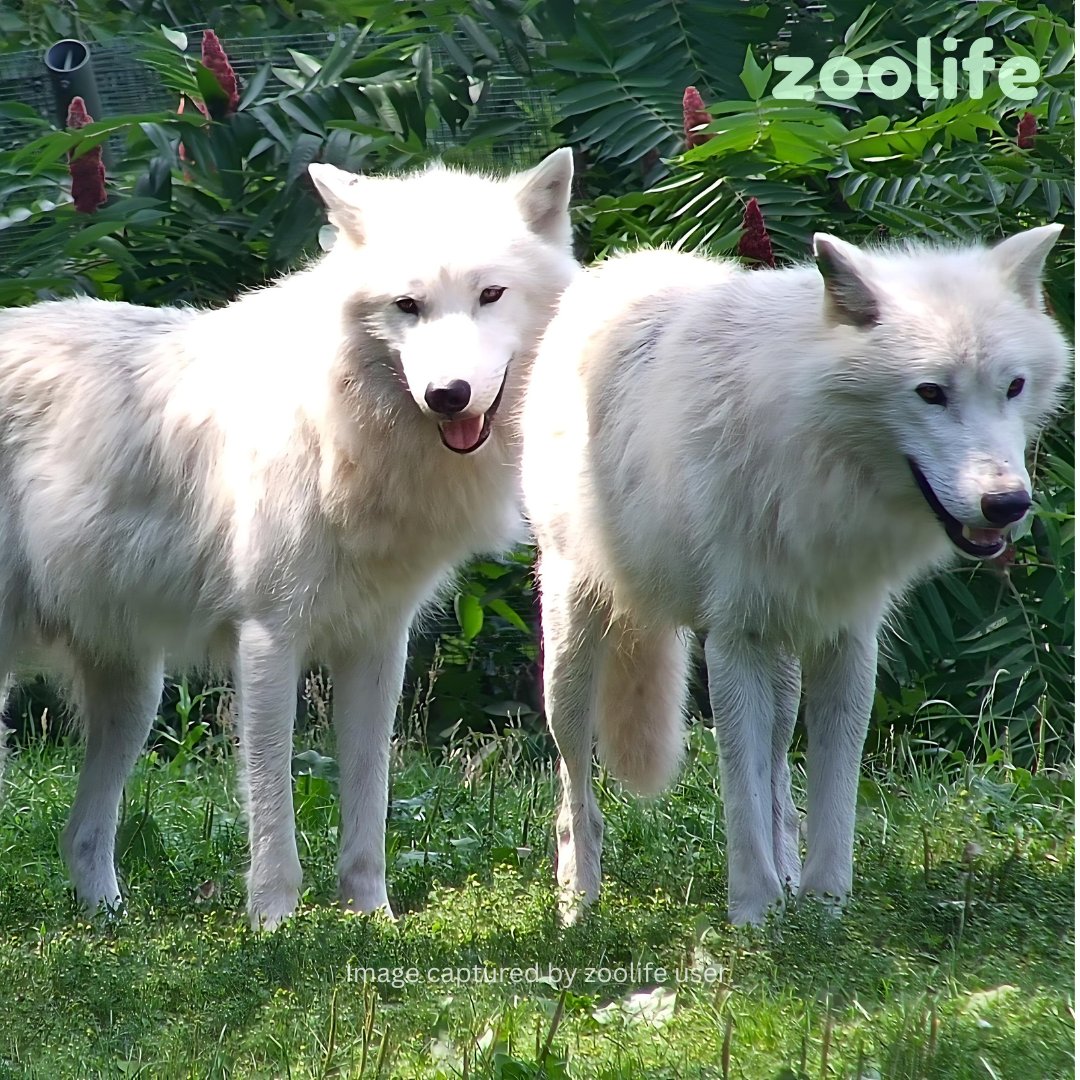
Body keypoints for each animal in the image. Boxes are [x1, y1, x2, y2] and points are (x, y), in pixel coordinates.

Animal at [0, 148, 576, 928]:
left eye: (491, 294)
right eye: (408, 306)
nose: (447, 395)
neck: (346, 434)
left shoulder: (377, 643)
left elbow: (368, 799)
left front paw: (372, 920)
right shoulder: (271, 639)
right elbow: (272, 810)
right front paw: (273, 925)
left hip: (134, 693)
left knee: (81, 837)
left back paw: (107, 923)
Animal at [521, 225, 1068, 926]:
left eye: (1013, 386)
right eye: (930, 392)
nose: (1008, 504)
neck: (818, 454)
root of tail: (623, 265)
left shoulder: (846, 638)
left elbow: (830, 794)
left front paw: (825, 908)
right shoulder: (734, 641)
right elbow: (739, 791)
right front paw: (754, 914)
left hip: (782, 656)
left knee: (780, 765)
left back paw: (786, 873)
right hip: (574, 648)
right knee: (575, 785)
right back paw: (577, 903)